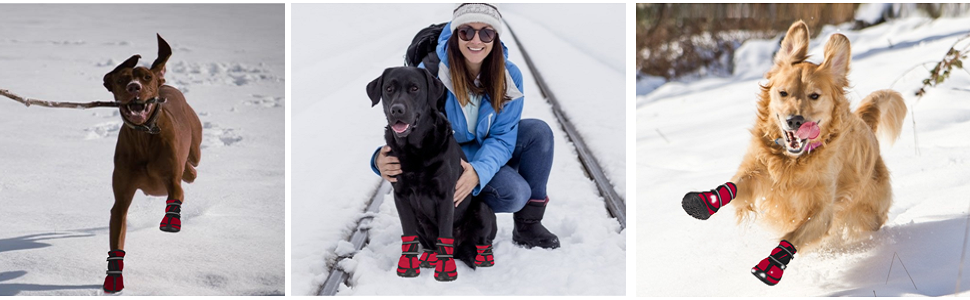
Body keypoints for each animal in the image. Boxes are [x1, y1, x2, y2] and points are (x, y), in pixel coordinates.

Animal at [99, 33, 201, 292]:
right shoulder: (121, 200)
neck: (144, 135)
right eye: (121, 79)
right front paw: (113, 277)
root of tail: (165, 83)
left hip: (195, 148)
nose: (133, 87)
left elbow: (175, 194)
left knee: (191, 169)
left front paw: (171, 220)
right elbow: (117, 235)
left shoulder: (172, 179)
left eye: (146, 78)